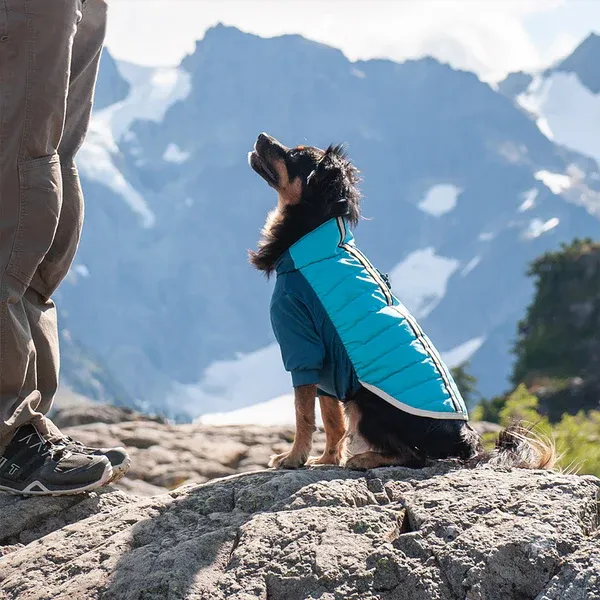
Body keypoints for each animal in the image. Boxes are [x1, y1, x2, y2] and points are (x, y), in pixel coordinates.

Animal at [246, 132, 556, 474]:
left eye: (294, 155)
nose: (261, 135)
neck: (313, 235)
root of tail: (464, 441)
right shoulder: (329, 365)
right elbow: (332, 419)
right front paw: (326, 459)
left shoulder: (302, 346)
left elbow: (304, 413)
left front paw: (292, 458)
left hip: (366, 404)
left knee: (414, 456)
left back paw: (364, 458)